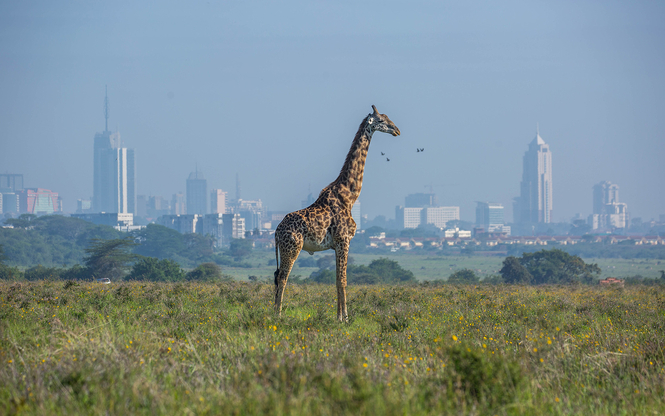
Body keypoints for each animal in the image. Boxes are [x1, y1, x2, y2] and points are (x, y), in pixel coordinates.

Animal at [274, 105, 400, 322]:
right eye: (381, 120)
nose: (397, 130)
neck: (349, 195)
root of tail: (275, 232)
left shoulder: (336, 245)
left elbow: (336, 280)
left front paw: (339, 316)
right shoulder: (344, 239)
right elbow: (343, 280)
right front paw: (345, 318)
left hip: (285, 249)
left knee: (276, 277)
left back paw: (272, 312)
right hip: (292, 247)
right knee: (282, 278)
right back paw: (278, 315)